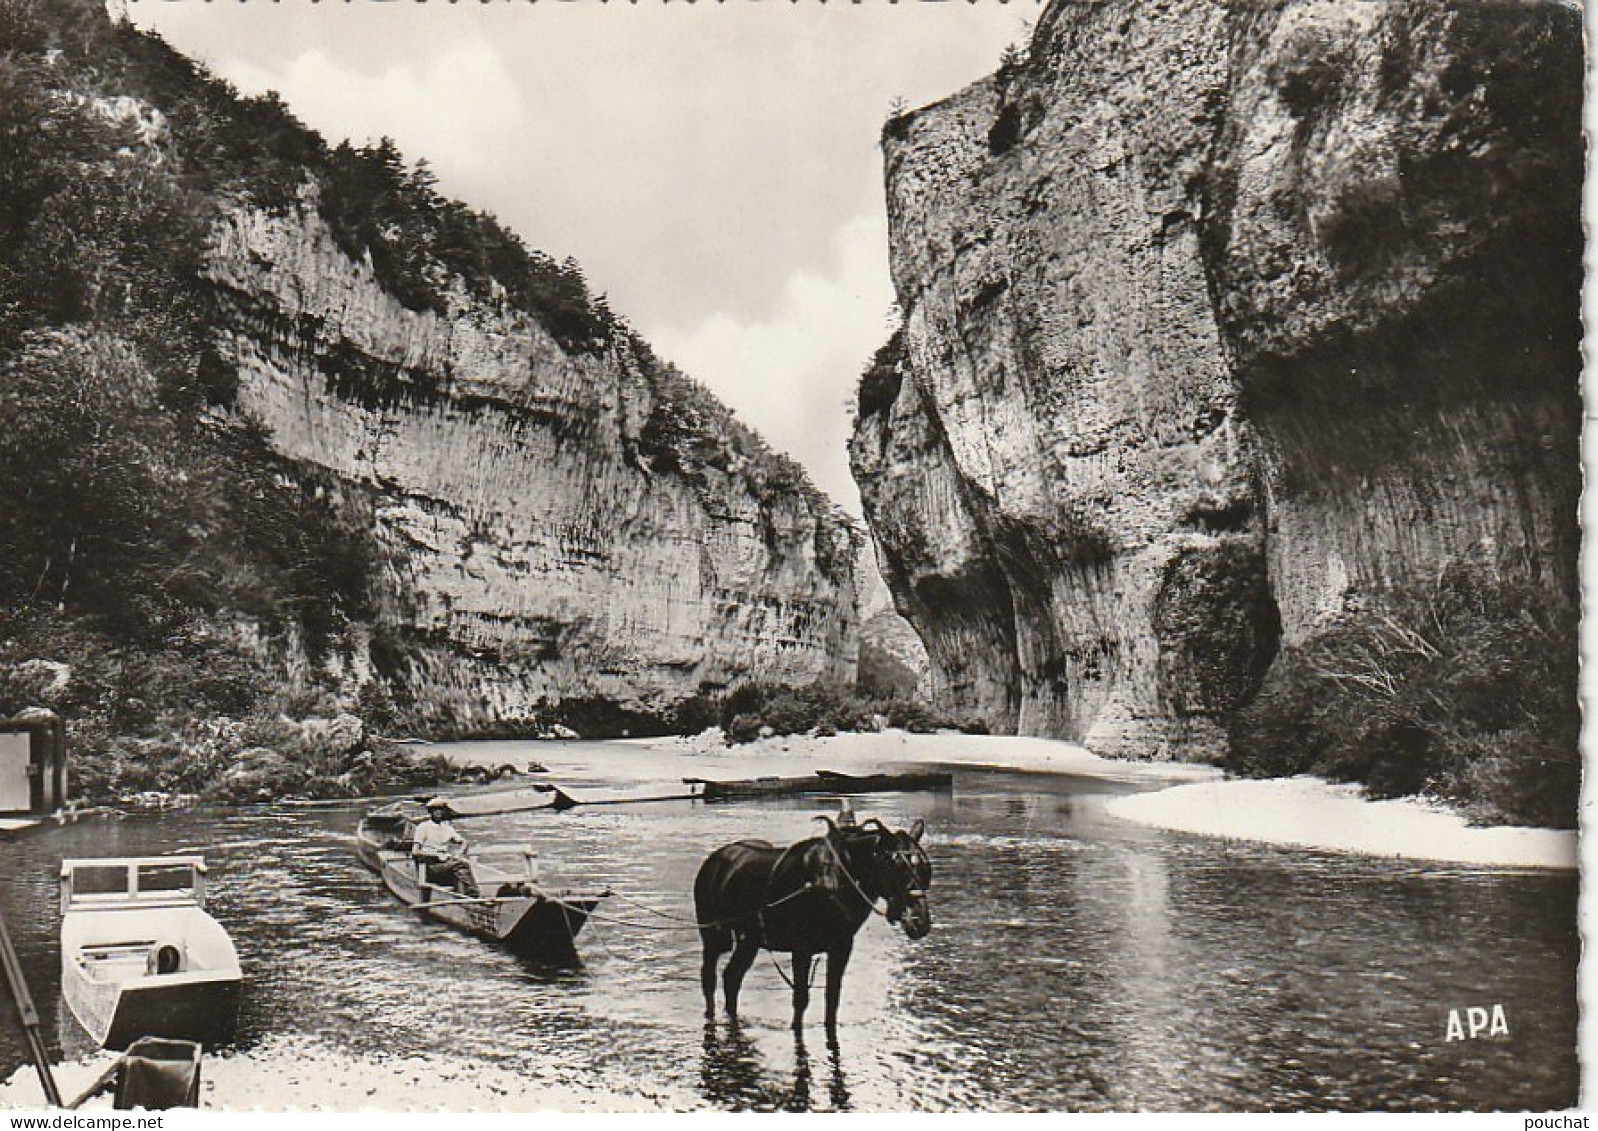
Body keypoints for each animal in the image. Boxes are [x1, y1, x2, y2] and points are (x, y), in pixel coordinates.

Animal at [693, 817, 933, 1028]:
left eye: (924, 868)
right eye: (897, 866)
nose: (919, 921)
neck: (835, 879)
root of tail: (714, 859)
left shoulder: (841, 947)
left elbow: (832, 999)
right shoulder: (802, 949)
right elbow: (801, 1000)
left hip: (749, 940)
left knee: (732, 978)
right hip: (713, 936)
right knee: (709, 979)